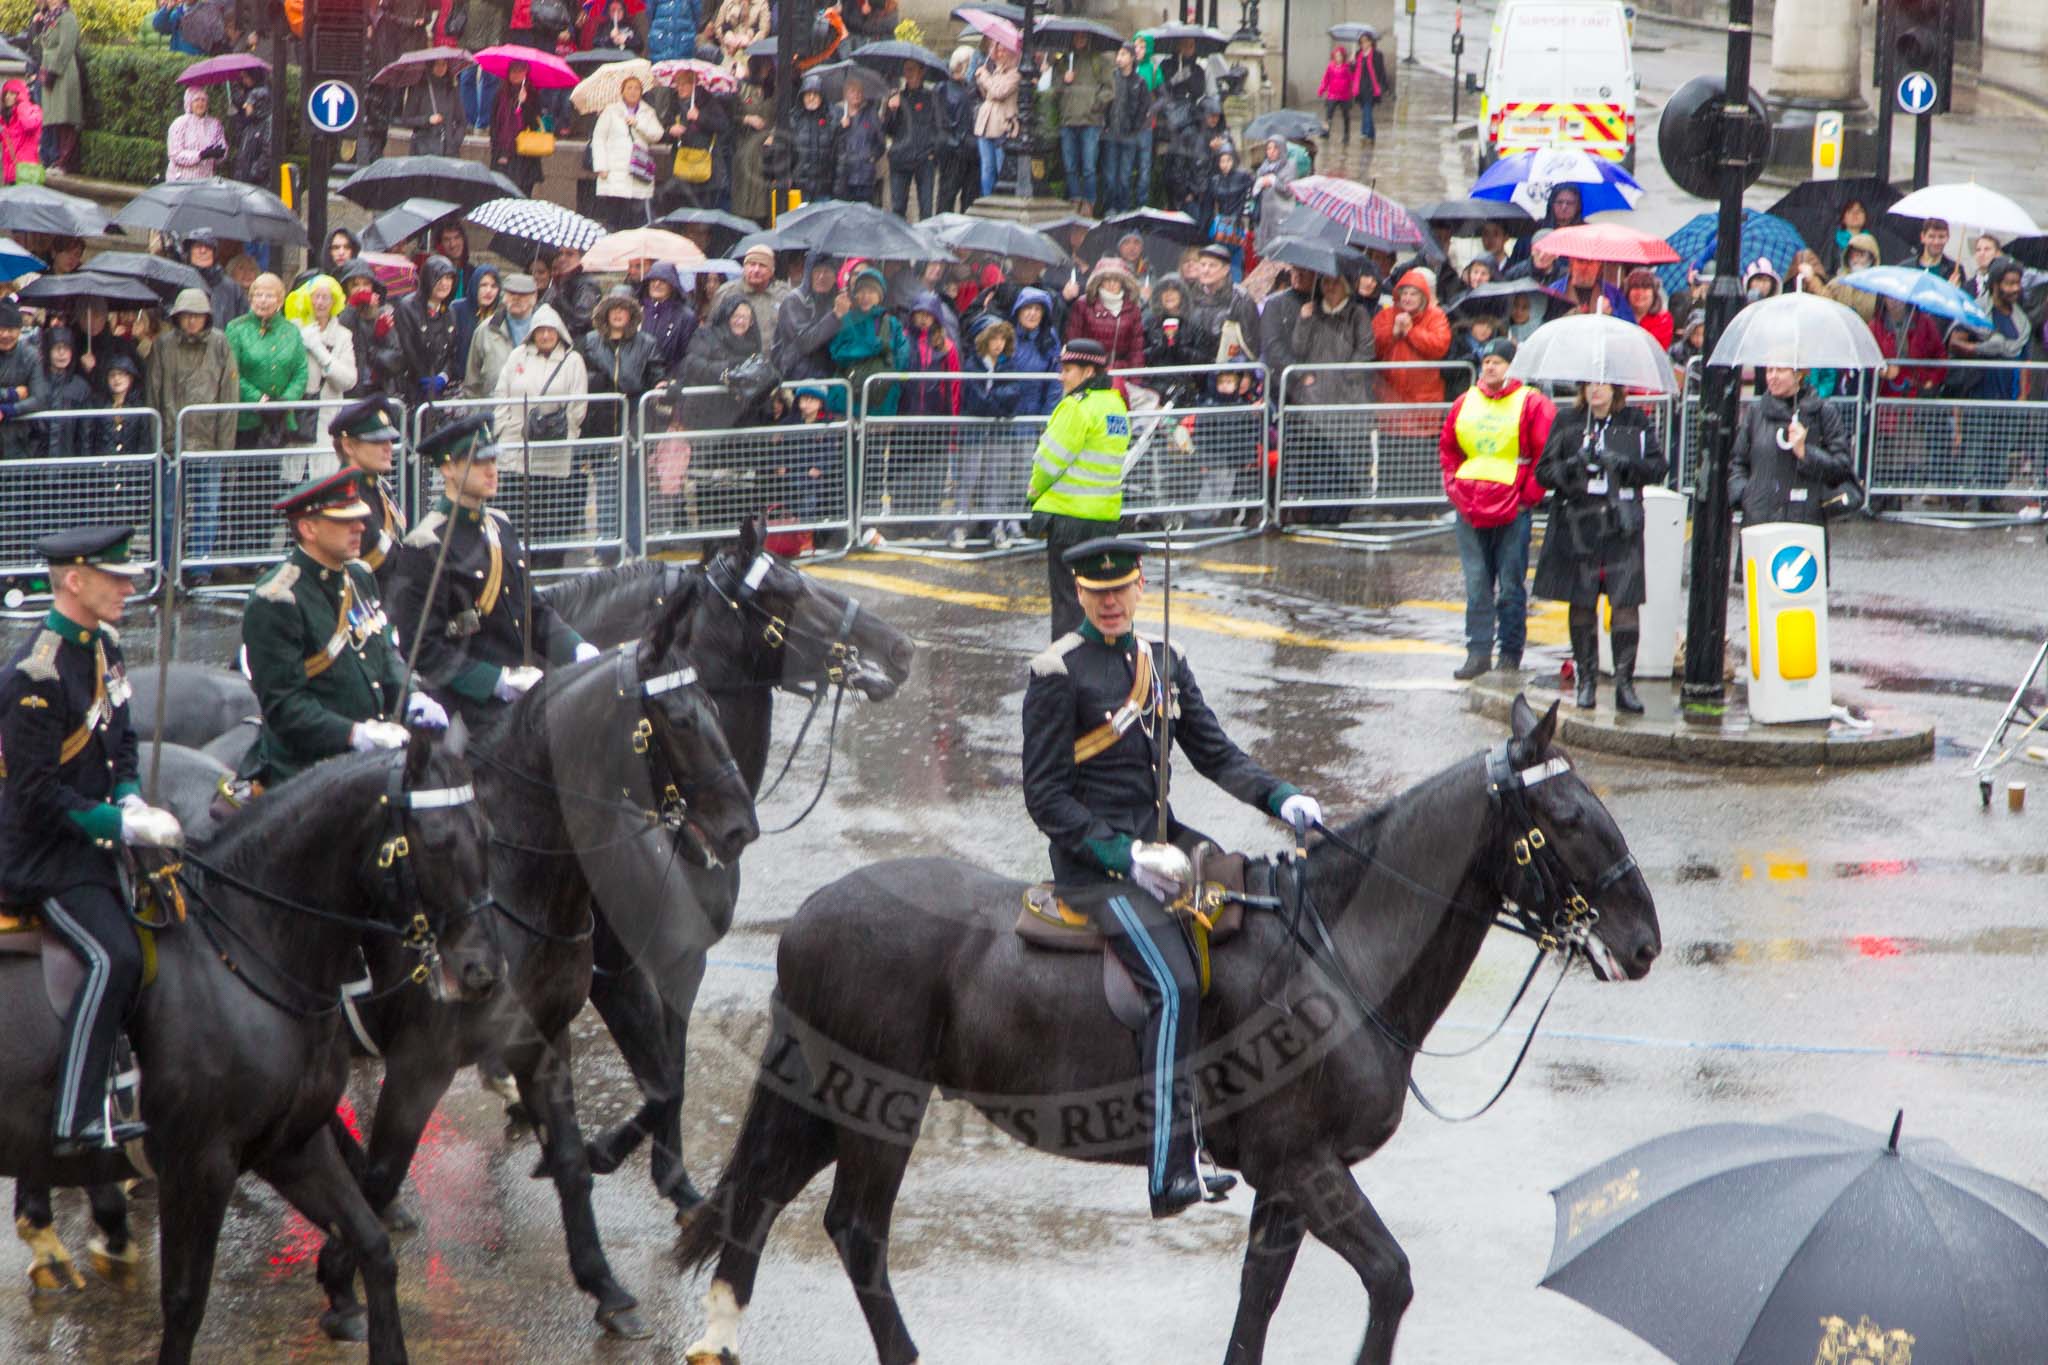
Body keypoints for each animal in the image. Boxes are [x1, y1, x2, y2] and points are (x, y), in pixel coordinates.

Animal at [0, 736, 499, 1365]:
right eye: (434, 841)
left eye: (487, 831)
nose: (481, 972)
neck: (247, 950)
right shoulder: (199, 1165)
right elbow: (185, 1302)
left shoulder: (291, 1145)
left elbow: (374, 1245)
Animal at [311, 581, 770, 1342]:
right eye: (677, 716)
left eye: (711, 701)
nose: (740, 829)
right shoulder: (436, 1053)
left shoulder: (558, 1025)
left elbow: (648, 1098)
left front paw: (606, 1273)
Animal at [536, 523, 913, 1219]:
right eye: (789, 591)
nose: (899, 650)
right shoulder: (615, 967)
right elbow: (660, 1080)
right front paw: (600, 1151)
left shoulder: (685, 962)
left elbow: (673, 1075)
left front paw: (673, 1177)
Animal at [679, 699, 1654, 1365]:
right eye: (1568, 815)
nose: (1644, 940)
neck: (1337, 955)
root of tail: (811, 912)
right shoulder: (1308, 1165)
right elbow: (1391, 1279)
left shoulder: (1287, 1180)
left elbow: (1259, 1300)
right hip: (883, 1109)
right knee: (854, 1229)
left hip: (829, 1101)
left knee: (759, 1199)